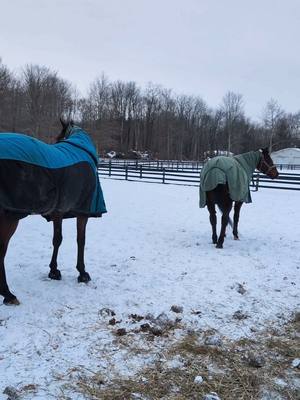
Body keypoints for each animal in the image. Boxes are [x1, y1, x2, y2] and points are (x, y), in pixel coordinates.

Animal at [0, 120, 106, 304]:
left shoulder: (58, 211)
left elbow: (57, 239)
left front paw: (54, 271)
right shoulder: (83, 211)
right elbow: (81, 240)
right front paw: (82, 273)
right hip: (10, 218)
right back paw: (8, 294)